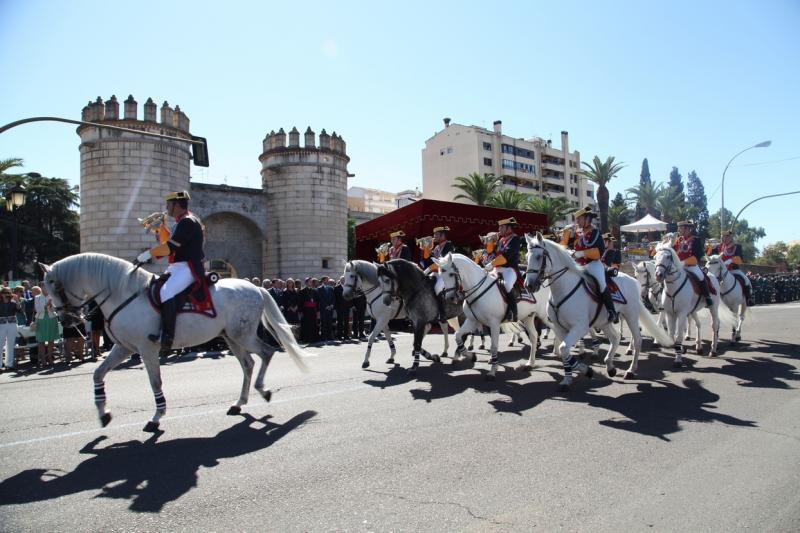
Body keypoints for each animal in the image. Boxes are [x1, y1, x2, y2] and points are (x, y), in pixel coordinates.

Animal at [42, 254, 312, 432]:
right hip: (231, 337)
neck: (123, 293)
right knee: (248, 363)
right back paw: (239, 403)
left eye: (55, 288)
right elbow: (98, 373)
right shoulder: (124, 347)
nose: (66, 321)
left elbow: (155, 381)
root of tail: (256, 288)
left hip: (241, 335)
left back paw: (263, 390)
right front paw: (104, 413)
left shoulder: (146, 348)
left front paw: (156, 416)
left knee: (267, 352)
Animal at [520, 232, 672, 386]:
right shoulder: (559, 328)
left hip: (631, 315)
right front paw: (568, 378)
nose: (528, 285)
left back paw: (630, 370)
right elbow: (565, 352)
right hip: (604, 321)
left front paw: (585, 370)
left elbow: (564, 349)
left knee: (637, 339)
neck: (563, 289)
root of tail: (633, 280)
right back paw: (610, 366)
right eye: (526, 256)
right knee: (615, 338)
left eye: (539, 256)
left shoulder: (579, 327)